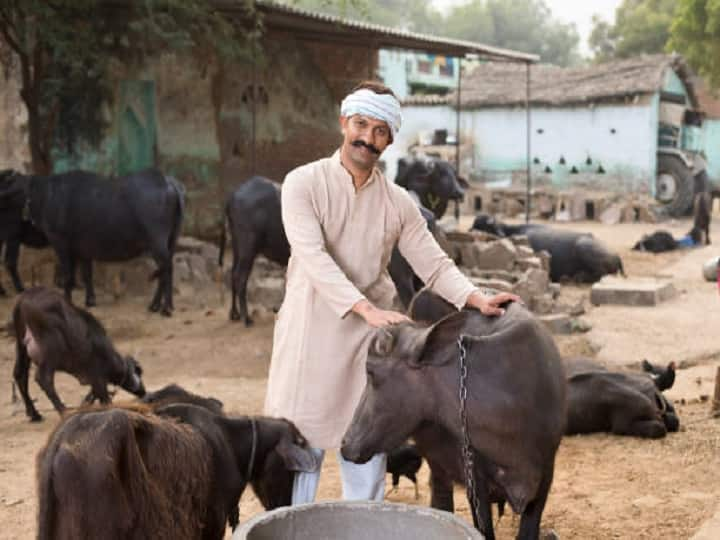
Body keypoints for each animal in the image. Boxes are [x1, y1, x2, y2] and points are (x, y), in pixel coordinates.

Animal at [0, 169, 186, 316]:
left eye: (8, 182)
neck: (46, 195)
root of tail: (168, 182)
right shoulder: (82, 250)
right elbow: (86, 274)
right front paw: (90, 301)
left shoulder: (60, 243)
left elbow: (68, 277)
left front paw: (68, 302)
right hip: (170, 241)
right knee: (164, 270)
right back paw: (156, 305)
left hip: (157, 242)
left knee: (167, 269)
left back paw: (166, 308)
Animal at [11, 286, 145, 422]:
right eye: (138, 372)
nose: (143, 391)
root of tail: (25, 297)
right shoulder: (98, 377)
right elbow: (104, 397)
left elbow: (92, 396)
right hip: (51, 349)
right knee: (44, 378)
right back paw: (64, 412)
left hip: (21, 346)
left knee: (20, 374)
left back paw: (34, 413)